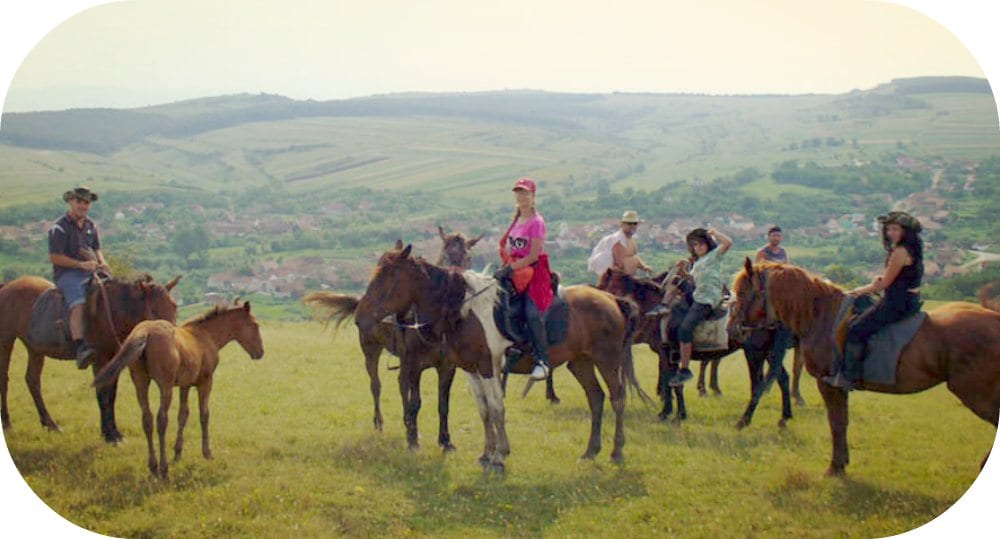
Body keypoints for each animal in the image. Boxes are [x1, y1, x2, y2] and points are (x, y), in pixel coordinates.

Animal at [0, 274, 180, 442]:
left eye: (174, 306)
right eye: (153, 310)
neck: (112, 312)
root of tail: (7, 286)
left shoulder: (113, 361)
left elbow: (111, 395)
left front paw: (113, 432)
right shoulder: (99, 360)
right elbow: (102, 394)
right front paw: (109, 436)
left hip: (35, 349)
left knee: (32, 380)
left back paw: (50, 424)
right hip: (6, 342)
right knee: (5, 380)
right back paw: (7, 423)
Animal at [93, 302, 262, 478]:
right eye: (255, 325)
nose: (260, 352)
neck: (207, 336)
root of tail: (145, 331)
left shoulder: (184, 385)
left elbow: (183, 415)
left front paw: (178, 453)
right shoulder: (205, 382)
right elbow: (204, 415)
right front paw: (207, 453)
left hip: (140, 382)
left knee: (147, 419)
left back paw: (153, 466)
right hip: (165, 385)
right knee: (161, 420)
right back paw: (163, 468)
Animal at [358, 245, 648, 472]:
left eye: (387, 279)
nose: (360, 316)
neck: (464, 310)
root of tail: (611, 298)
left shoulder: (488, 367)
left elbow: (497, 409)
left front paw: (499, 456)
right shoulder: (471, 370)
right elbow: (484, 410)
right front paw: (486, 454)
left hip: (607, 359)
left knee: (617, 398)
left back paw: (616, 451)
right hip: (581, 362)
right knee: (596, 399)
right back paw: (590, 451)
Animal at [728, 262, 1000, 476]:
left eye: (741, 292)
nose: (732, 330)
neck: (821, 316)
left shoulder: (828, 384)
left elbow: (836, 422)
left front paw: (835, 467)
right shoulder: (838, 387)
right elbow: (842, 421)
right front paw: (842, 462)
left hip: (976, 393)